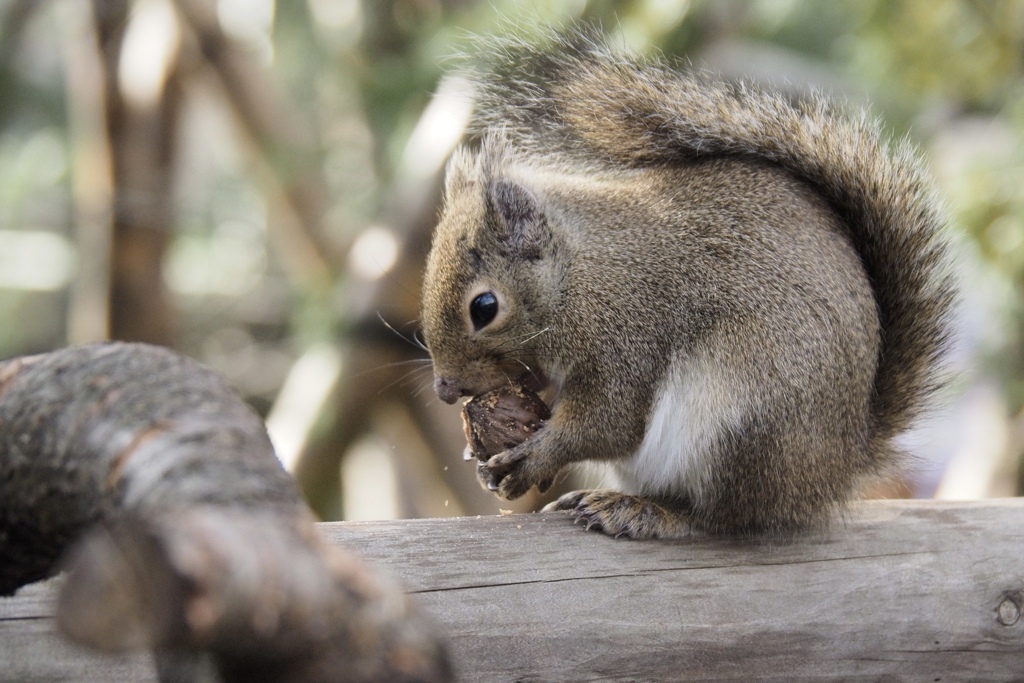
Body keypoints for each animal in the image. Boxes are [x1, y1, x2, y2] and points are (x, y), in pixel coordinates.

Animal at [417, 29, 958, 540]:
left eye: (484, 307)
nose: (445, 390)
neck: (580, 274)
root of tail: (837, 469)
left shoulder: (626, 338)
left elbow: (608, 423)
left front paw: (535, 458)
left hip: (740, 422)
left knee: (722, 520)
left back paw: (646, 513)